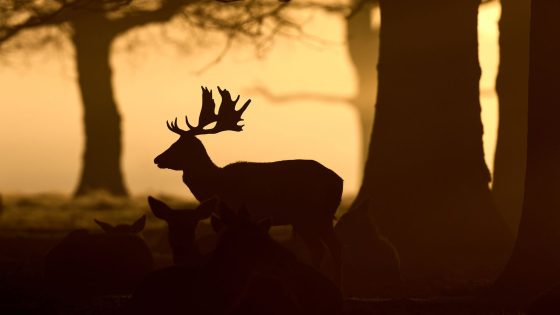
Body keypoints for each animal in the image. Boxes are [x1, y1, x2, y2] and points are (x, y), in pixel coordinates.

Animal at [155, 86, 344, 284]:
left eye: (180, 145)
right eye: (174, 142)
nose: (157, 159)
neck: (216, 182)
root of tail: (339, 182)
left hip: (313, 215)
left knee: (330, 248)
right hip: (308, 219)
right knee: (324, 248)